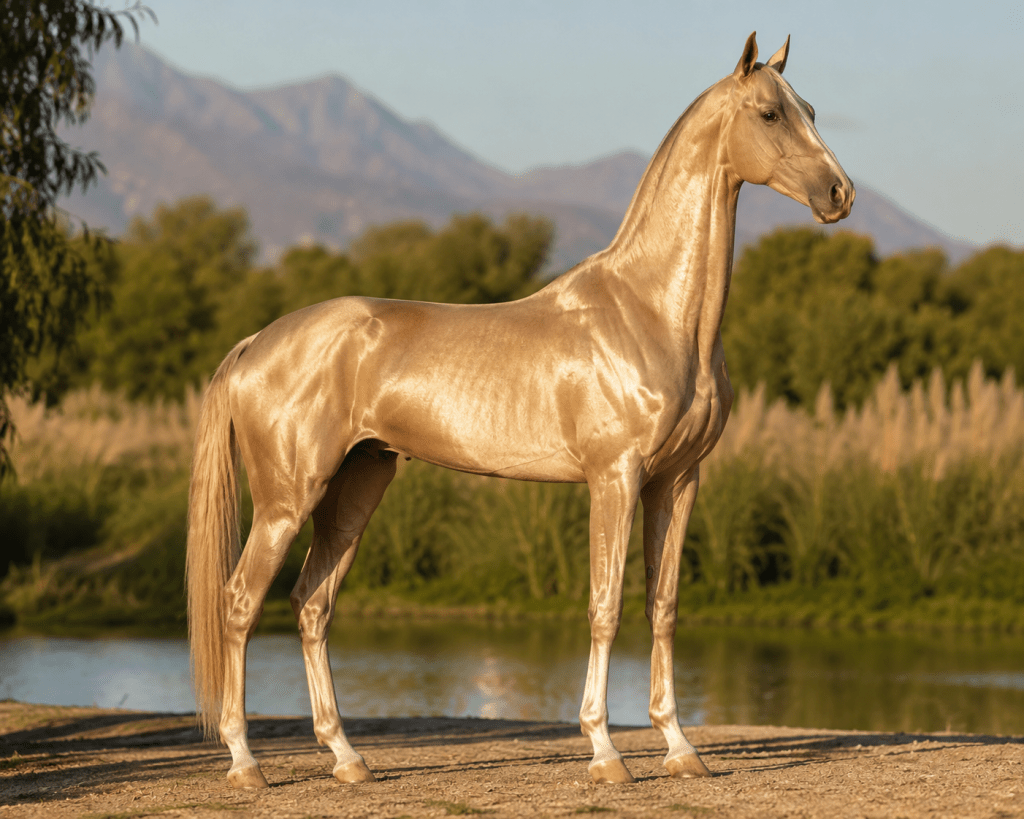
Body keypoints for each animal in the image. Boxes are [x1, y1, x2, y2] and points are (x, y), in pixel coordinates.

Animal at [186, 31, 854, 788]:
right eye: (769, 113)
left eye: (810, 109)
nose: (840, 194)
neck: (652, 311)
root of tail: (256, 344)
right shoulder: (615, 478)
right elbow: (603, 607)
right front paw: (605, 752)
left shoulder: (678, 481)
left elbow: (662, 607)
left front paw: (681, 748)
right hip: (286, 498)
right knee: (240, 602)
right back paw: (245, 762)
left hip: (358, 484)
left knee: (311, 605)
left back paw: (348, 758)